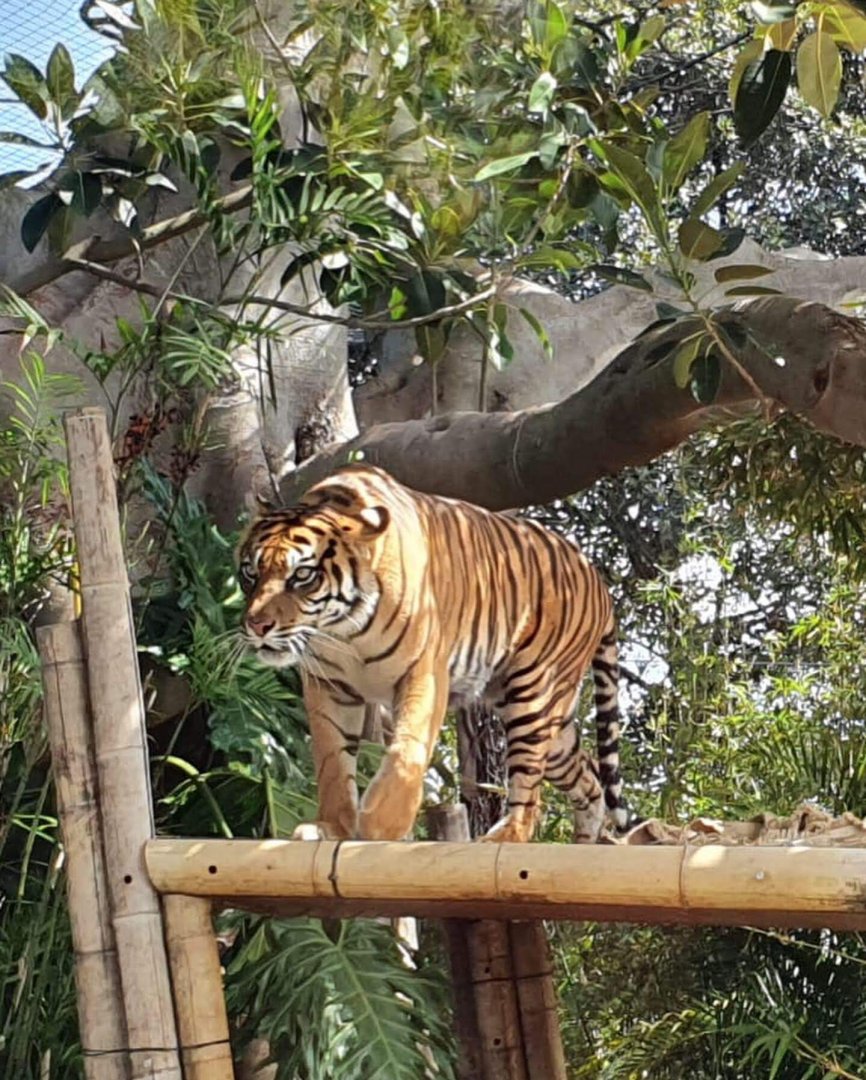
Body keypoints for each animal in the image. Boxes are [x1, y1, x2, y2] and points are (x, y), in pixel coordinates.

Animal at [238, 464, 626, 844]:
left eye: (302, 575)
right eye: (250, 572)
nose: (257, 625)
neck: (343, 630)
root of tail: (599, 581)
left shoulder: (423, 673)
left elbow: (406, 750)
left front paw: (380, 824)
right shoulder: (329, 686)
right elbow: (332, 760)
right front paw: (331, 827)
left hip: (533, 695)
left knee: (530, 790)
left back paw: (506, 835)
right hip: (550, 722)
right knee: (588, 776)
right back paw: (587, 841)